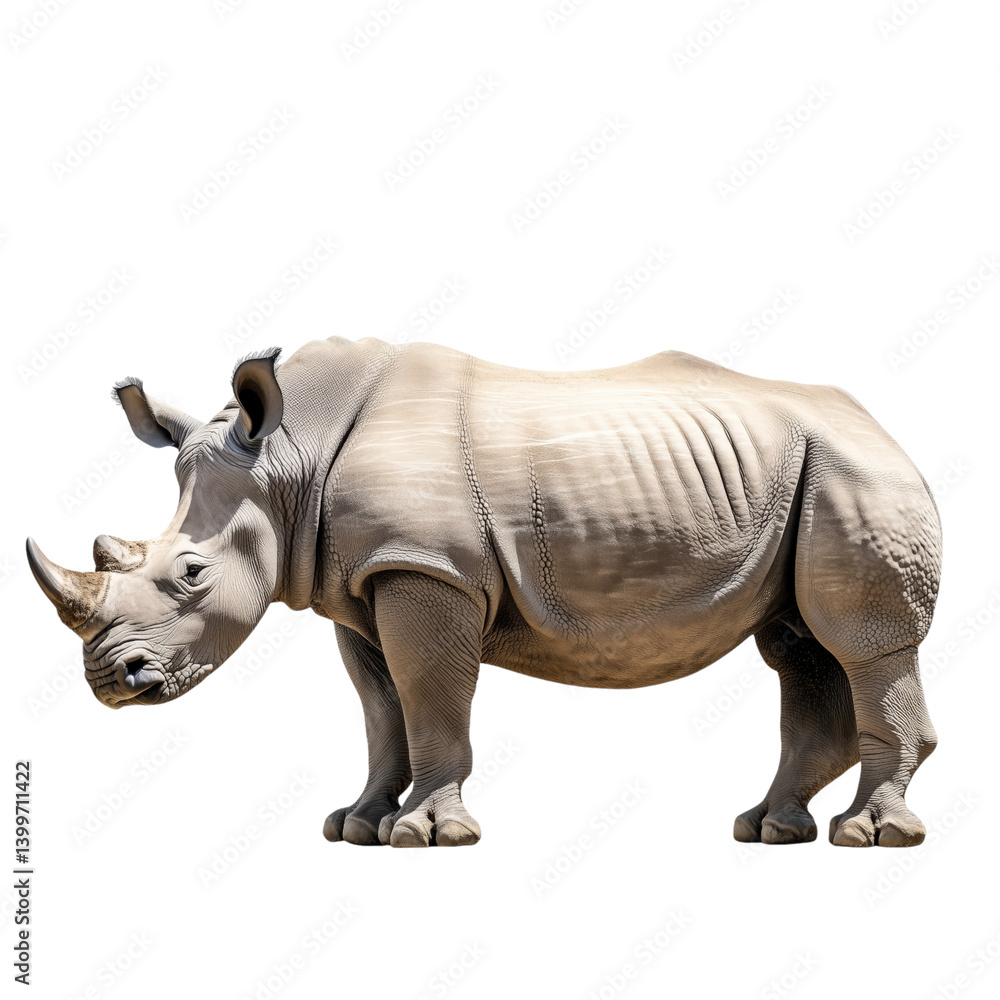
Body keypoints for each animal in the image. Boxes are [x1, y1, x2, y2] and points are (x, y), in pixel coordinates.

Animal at [26, 336, 941, 849]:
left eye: (191, 574)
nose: (112, 682)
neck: (290, 458)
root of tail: (883, 424)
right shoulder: (362, 580)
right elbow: (381, 707)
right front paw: (357, 825)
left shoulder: (426, 567)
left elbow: (430, 696)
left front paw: (425, 835)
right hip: (808, 474)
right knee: (799, 645)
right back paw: (769, 830)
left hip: (855, 473)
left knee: (862, 645)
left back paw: (870, 838)